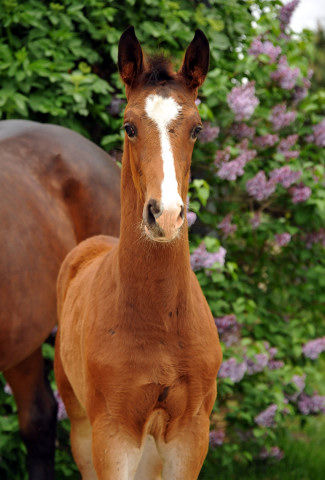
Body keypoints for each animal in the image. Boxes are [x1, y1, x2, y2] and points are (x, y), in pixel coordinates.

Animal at [55, 27, 221, 480]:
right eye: (129, 127)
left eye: (197, 129)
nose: (165, 215)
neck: (160, 318)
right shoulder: (113, 435)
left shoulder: (190, 434)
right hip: (80, 424)